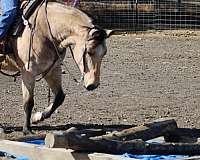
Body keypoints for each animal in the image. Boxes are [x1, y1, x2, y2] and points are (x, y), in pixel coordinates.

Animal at [0, 1, 112, 134]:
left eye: (104, 53)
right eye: (89, 52)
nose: (93, 85)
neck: (45, 31)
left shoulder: (53, 70)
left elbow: (59, 97)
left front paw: (38, 117)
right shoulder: (28, 73)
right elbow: (28, 103)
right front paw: (27, 129)